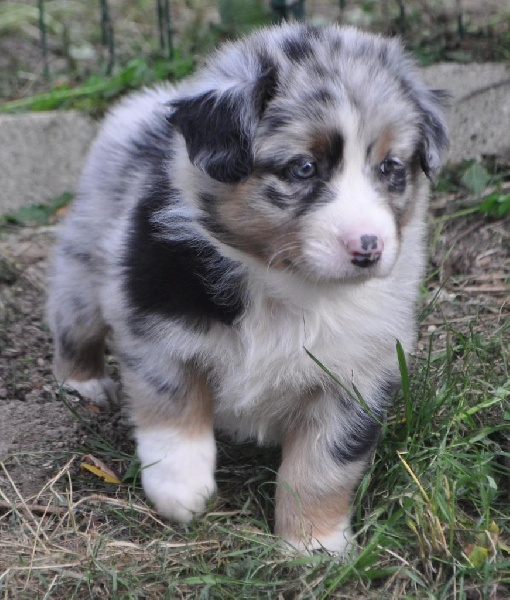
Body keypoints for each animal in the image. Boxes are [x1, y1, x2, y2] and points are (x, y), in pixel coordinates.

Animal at [47, 25, 446, 556]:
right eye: (303, 168)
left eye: (390, 168)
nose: (368, 248)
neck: (289, 287)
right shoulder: (155, 327)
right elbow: (173, 409)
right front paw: (181, 491)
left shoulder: (356, 376)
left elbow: (323, 465)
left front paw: (313, 545)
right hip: (86, 260)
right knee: (74, 320)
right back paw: (82, 383)